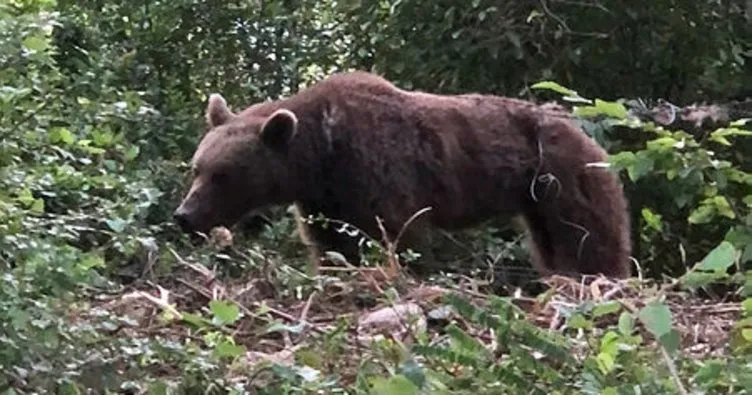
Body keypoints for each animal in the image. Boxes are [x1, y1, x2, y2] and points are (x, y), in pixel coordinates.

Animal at [173, 70, 632, 278]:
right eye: (197, 168)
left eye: (223, 175)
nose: (185, 216)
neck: (321, 155)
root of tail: (585, 129)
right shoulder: (325, 199)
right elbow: (333, 244)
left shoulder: (378, 172)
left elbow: (397, 234)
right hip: (535, 200)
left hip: (561, 179)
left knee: (588, 236)